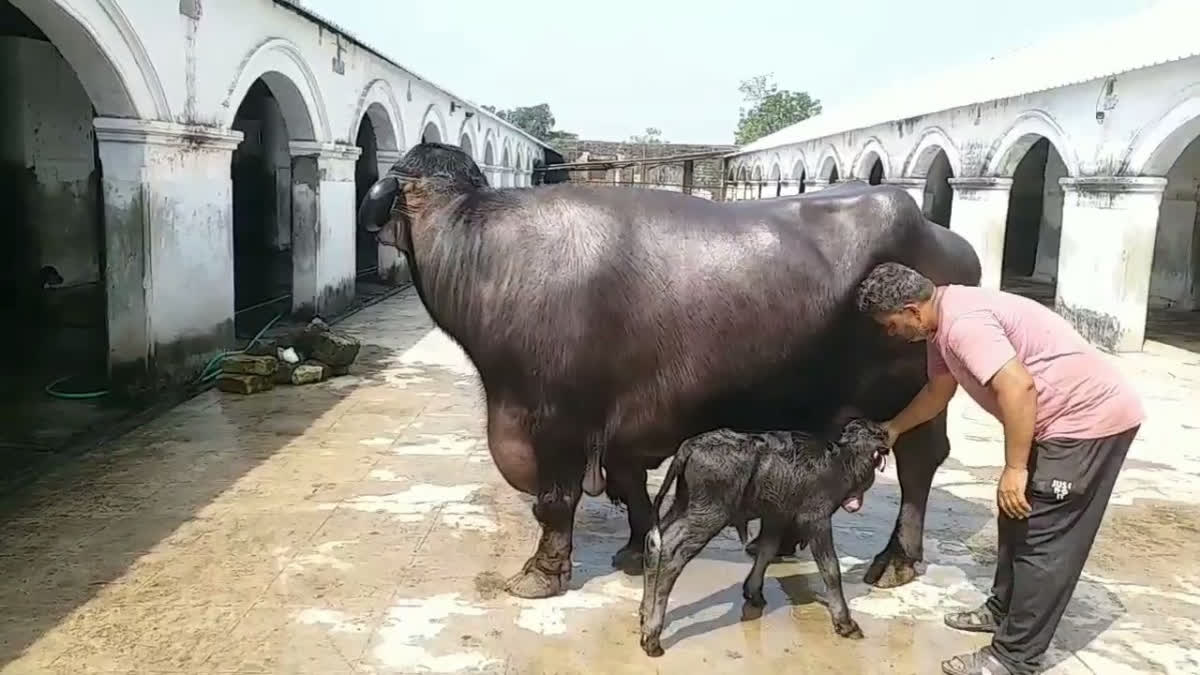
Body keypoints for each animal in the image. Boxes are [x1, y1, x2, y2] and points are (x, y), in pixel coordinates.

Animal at [358, 142, 981, 600]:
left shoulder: (558, 418)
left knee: (918, 465)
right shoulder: (621, 422)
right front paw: (637, 549)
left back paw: (895, 559)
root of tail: (946, 239)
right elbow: (632, 484)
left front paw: (541, 574)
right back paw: (781, 545)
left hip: (914, 396)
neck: (484, 254)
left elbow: (555, 501)